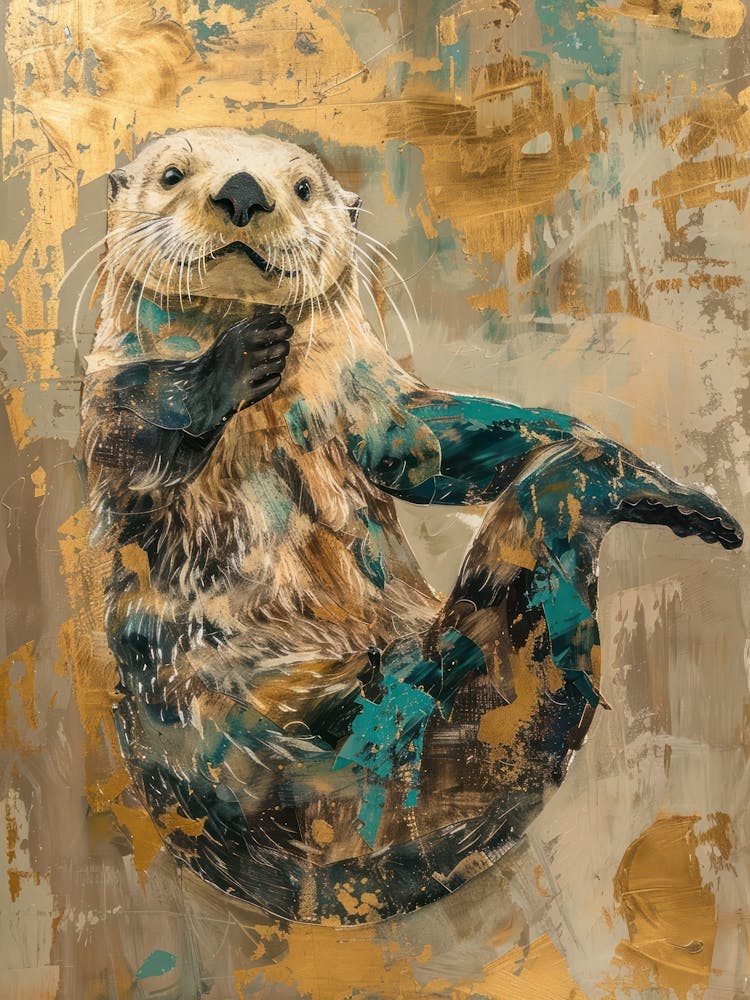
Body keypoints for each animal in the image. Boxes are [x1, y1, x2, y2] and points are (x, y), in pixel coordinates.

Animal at [79, 127, 742, 925]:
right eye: (173, 173)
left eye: (303, 186)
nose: (243, 191)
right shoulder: (109, 397)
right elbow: (137, 435)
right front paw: (234, 360)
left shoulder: (374, 403)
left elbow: (432, 445)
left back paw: (672, 496)